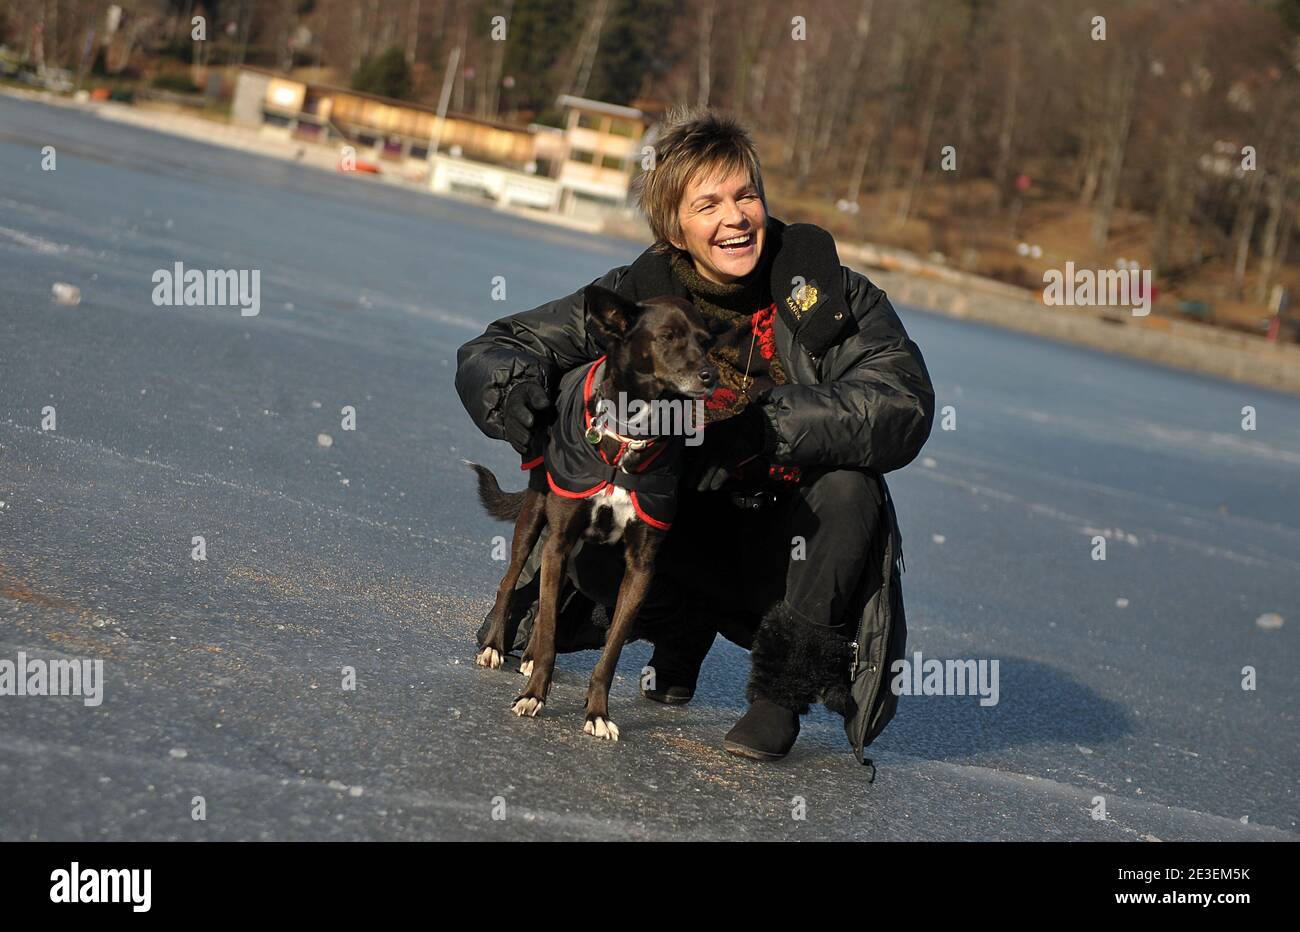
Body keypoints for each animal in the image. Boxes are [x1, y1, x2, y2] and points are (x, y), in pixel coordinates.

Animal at [467, 285, 712, 743]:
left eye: (706, 342)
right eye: (667, 337)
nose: (710, 376)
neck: (628, 438)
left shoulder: (639, 569)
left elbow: (609, 653)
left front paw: (597, 713)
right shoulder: (559, 539)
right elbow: (546, 623)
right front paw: (534, 696)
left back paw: (528, 654)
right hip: (536, 517)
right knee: (512, 581)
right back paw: (494, 647)